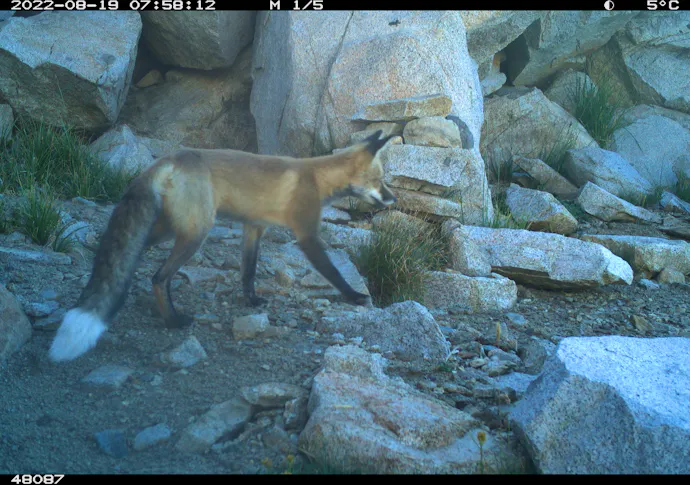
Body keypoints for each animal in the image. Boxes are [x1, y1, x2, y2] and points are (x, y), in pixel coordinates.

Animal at [48, 130, 397, 362]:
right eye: (380, 181)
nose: (393, 199)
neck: (317, 177)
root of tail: (169, 158)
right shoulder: (306, 235)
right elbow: (333, 273)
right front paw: (354, 296)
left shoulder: (254, 227)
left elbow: (248, 271)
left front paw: (251, 300)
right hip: (196, 232)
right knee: (159, 277)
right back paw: (173, 321)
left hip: (166, 229)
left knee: (126, 256)